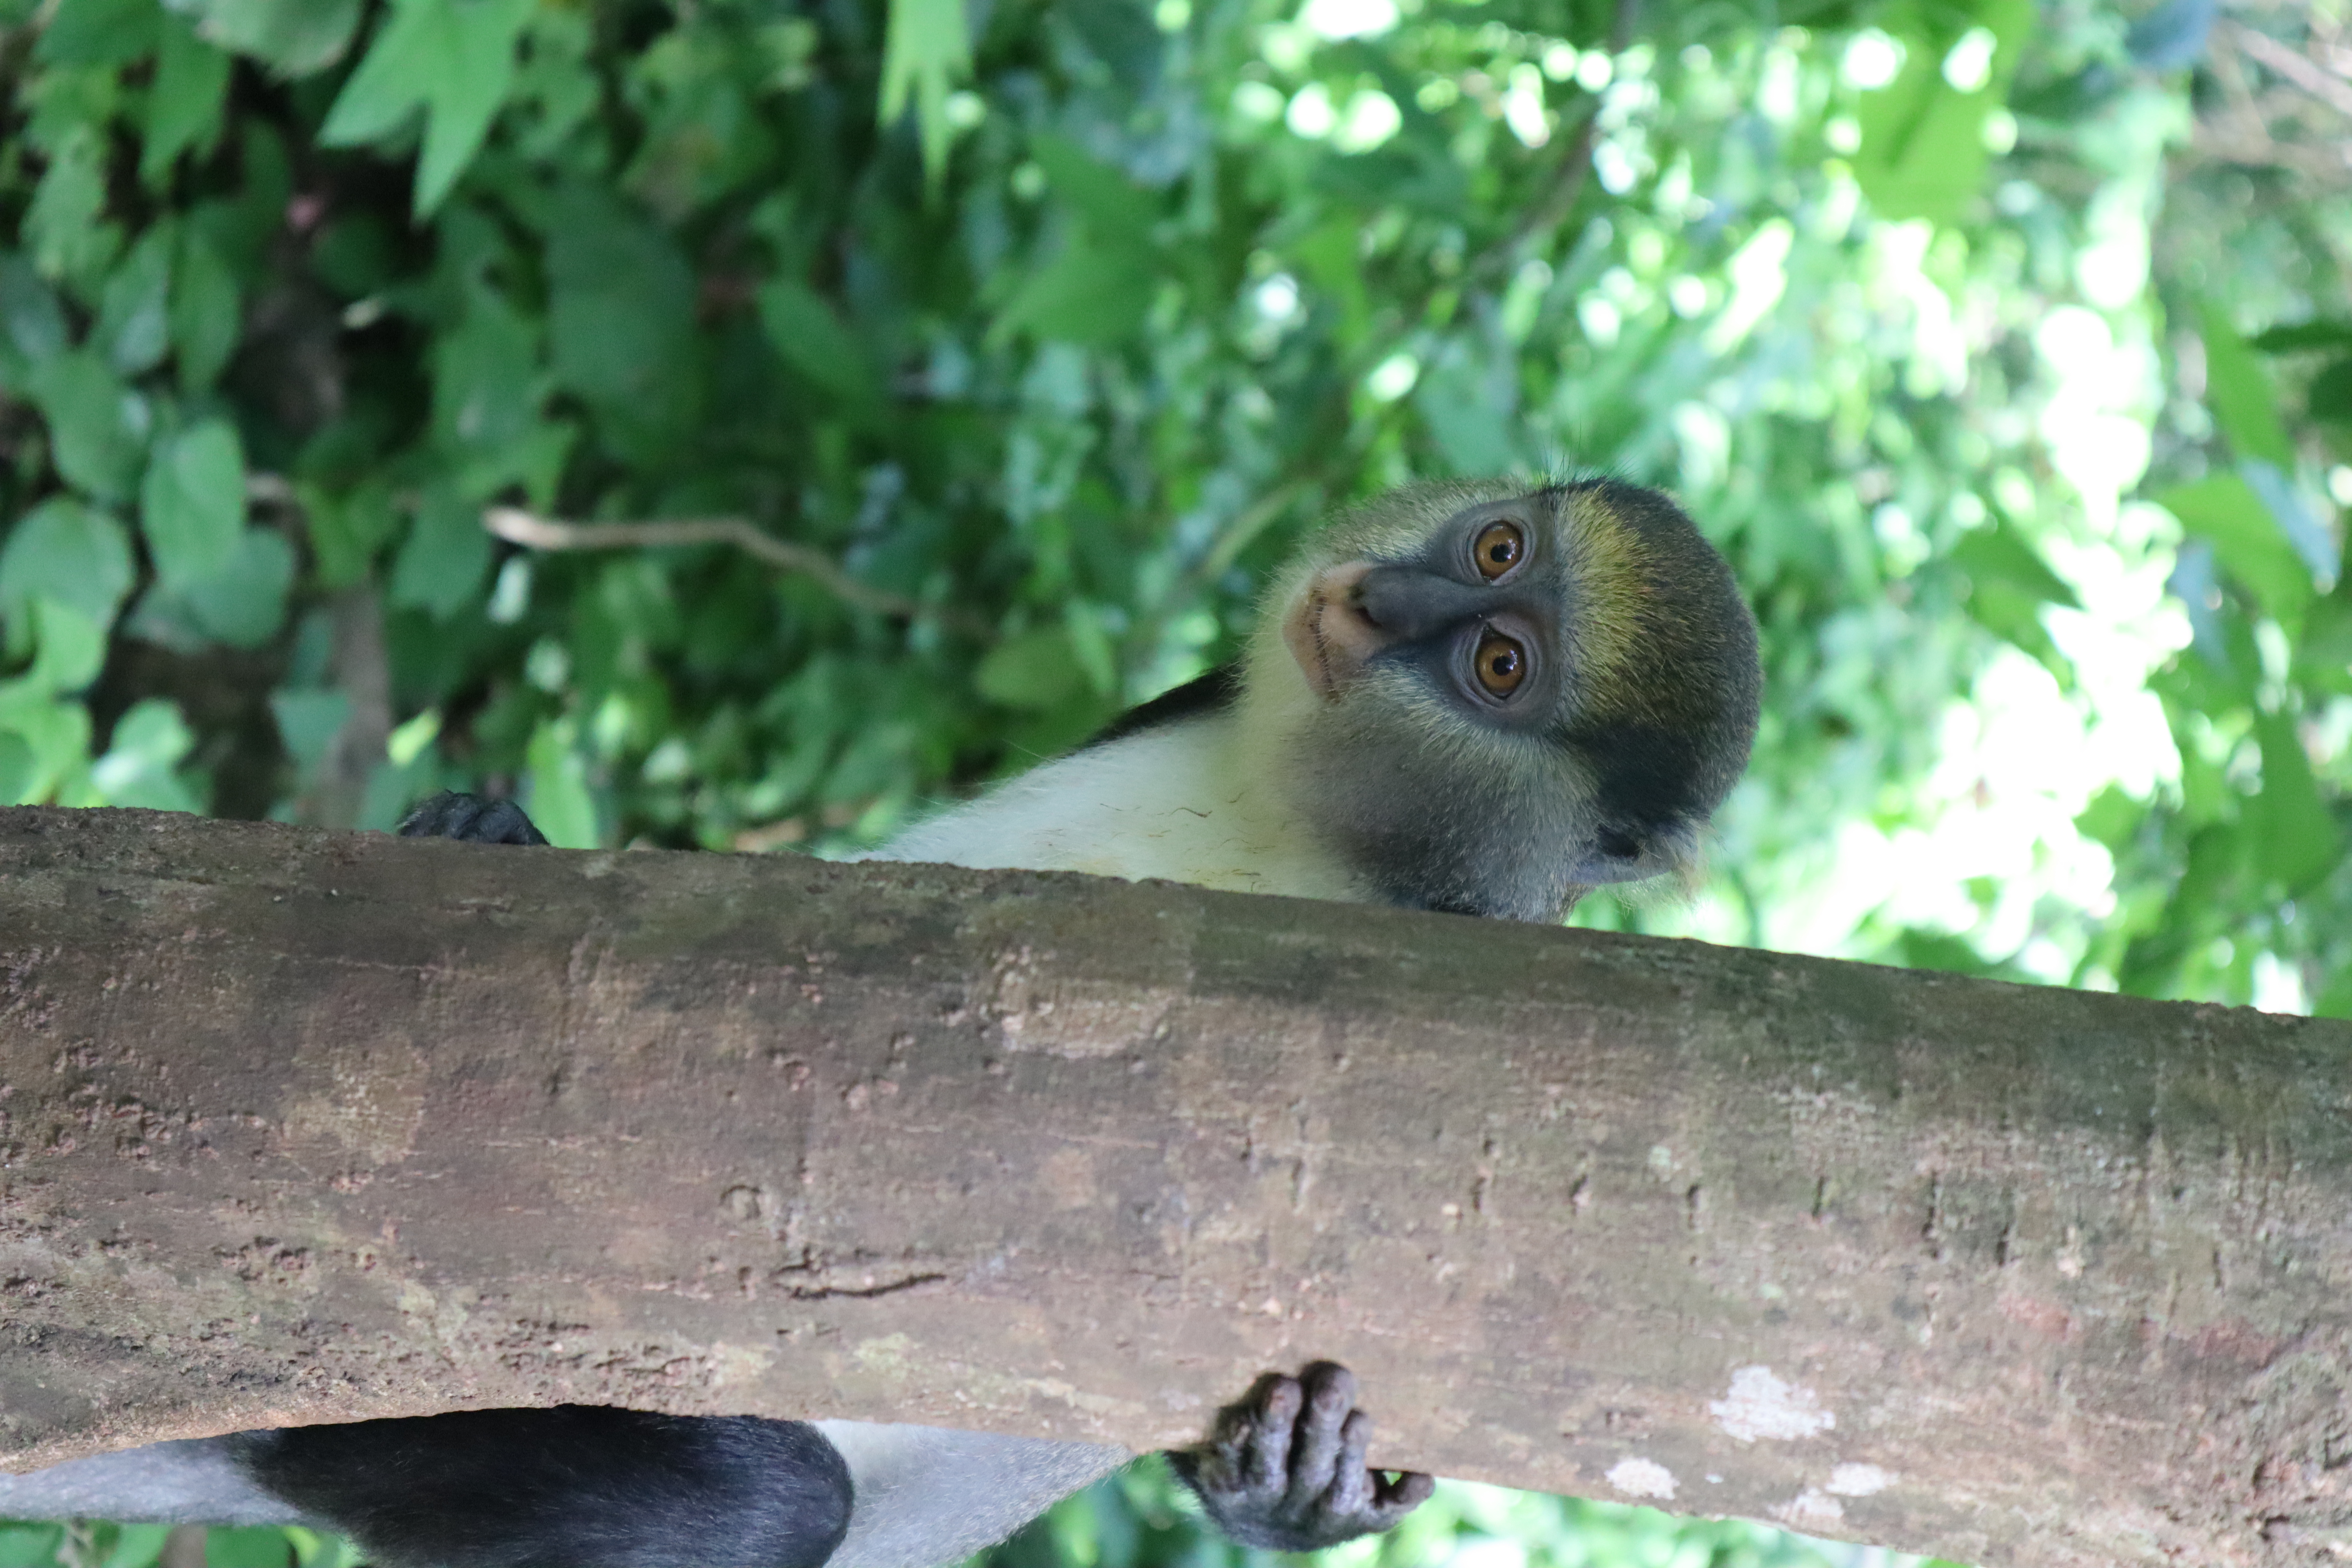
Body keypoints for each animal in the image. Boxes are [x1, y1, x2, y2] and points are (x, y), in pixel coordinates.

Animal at [0, 479, 1759, 1567]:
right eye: (1496, 552)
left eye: (1499, 664)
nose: (1381, 603)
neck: (1327, 832)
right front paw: (484, 827)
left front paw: (1295, 1482)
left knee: (767, 1503)